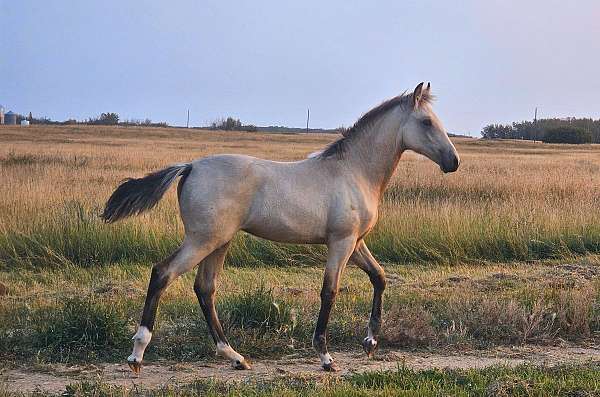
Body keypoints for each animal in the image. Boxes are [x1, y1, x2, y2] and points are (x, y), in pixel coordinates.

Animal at [102, 81, 460, 372]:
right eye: (426, 122)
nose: (453, 161)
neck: (354, 171)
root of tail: (189, 166)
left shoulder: (355, 243)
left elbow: (379, 277)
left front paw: (370, 342)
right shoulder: (341, 243)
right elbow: (329, 291)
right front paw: (326, 357)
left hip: (219, 242)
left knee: (205, 289)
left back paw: (235, 357)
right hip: (203, 240)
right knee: (163, 273)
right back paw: (137, 354)